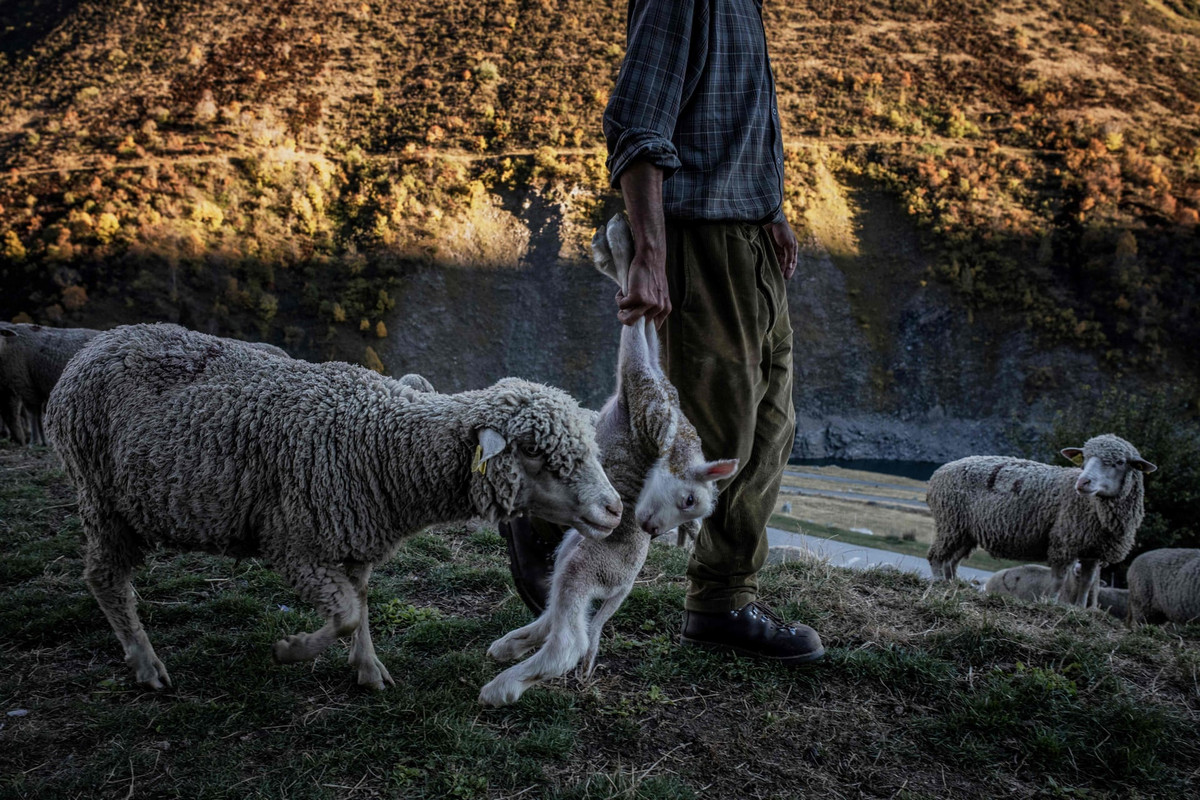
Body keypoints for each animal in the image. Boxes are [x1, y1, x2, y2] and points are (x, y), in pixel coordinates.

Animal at [45, 321, 619, 690]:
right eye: (534, 452)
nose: (614, 508)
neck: (381, 443)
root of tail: (96, 344)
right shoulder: (293, 544)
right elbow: (343, 614)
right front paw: (291, 649)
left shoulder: (356, 538)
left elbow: (359, 606)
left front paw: (368, 671)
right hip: (101, 496)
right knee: (104, 578)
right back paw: (146, 665)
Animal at [475, 214, 734, 705]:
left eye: (688, 503)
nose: (650, 529)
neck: (675, 435)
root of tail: (626, 583)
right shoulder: (653, 382)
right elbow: (647, 331)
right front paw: (620, 248)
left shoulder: (641, 387)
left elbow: (635, 334)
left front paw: (619, 247)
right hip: (573, 549)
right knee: (559, 616)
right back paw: (509, 646)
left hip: (587, 563)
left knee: (570, 640)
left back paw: (504, 685)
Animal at [921, 434, 1156, 604]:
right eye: (1085, 458)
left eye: (1119, 462)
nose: (1082, 483)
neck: (1094, 508)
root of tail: (940, 471)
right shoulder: (1063, 543)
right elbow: (1059, 580)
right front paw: (1048, 603)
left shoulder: (1093, 550)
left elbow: (1087, 583)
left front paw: (1078, 610)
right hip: (950, 522)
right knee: (937, 556)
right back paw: (940, 582)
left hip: (965, 530)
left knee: (952, 560)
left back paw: (953, 584)